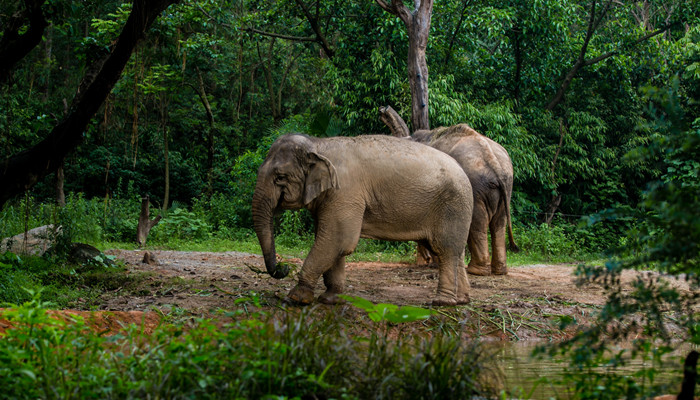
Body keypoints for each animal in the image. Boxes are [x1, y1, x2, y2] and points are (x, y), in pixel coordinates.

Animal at [252, 134, 476, 306]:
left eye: (280, 177)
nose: (283, 267)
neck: (318, 144)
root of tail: (463, 170)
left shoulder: (345, 193)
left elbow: (339, 240)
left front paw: (296, 298)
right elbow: (332, 243)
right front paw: (330, 299)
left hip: (452, 206)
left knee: (445, 250)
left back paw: (442, 302)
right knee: (455, 251)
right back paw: (461, 300)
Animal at [412, 124, 516, 276]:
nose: (426, 260)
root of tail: (494, 162)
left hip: (476, 186)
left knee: (477, 222)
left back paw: (476, 271)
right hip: (507, 187)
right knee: (499, 223)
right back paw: (499, 271)